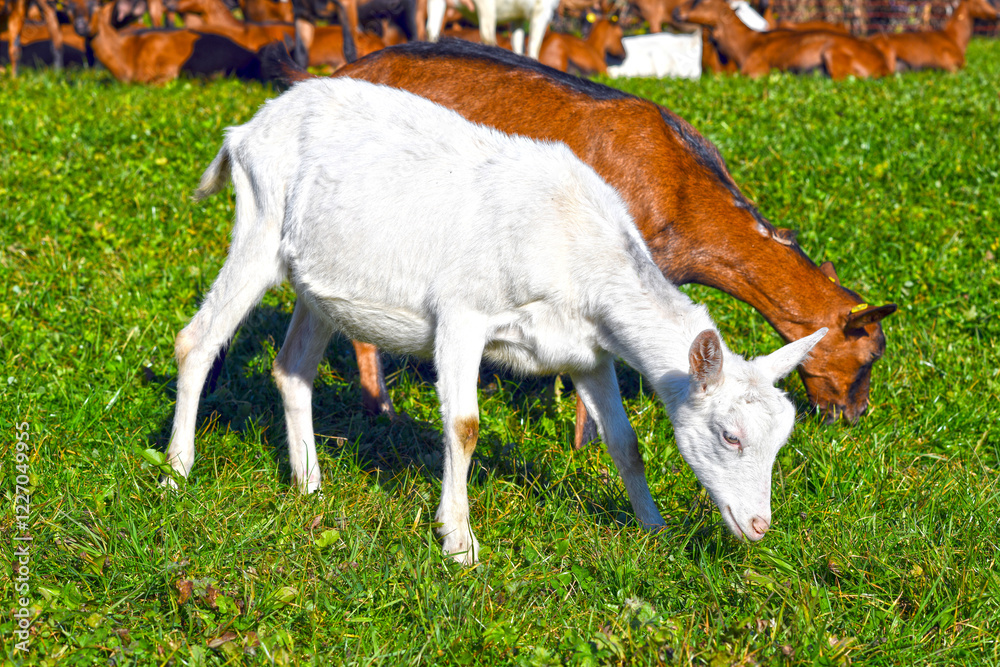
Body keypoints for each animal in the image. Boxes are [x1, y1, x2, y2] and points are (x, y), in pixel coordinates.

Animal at [170, 76, 829, 563]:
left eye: (782, 440)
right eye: (730, 436)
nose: (759, 526)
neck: (578, 249)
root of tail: (246, 129)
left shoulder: (587, 351)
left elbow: (625, 441)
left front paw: (653, 528)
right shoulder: (463, 313)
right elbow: (464, 426)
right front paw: (459, 544)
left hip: (318, 282)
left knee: (292, 369)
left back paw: (309, 485)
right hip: (259, 223)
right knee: (195, 340)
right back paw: (177, 471)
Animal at [673, 0, 891, 79]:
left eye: (699, 1)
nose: (676, 11)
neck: (746, 44)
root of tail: (882, 66)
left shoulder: (756, 73)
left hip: (832, 53)